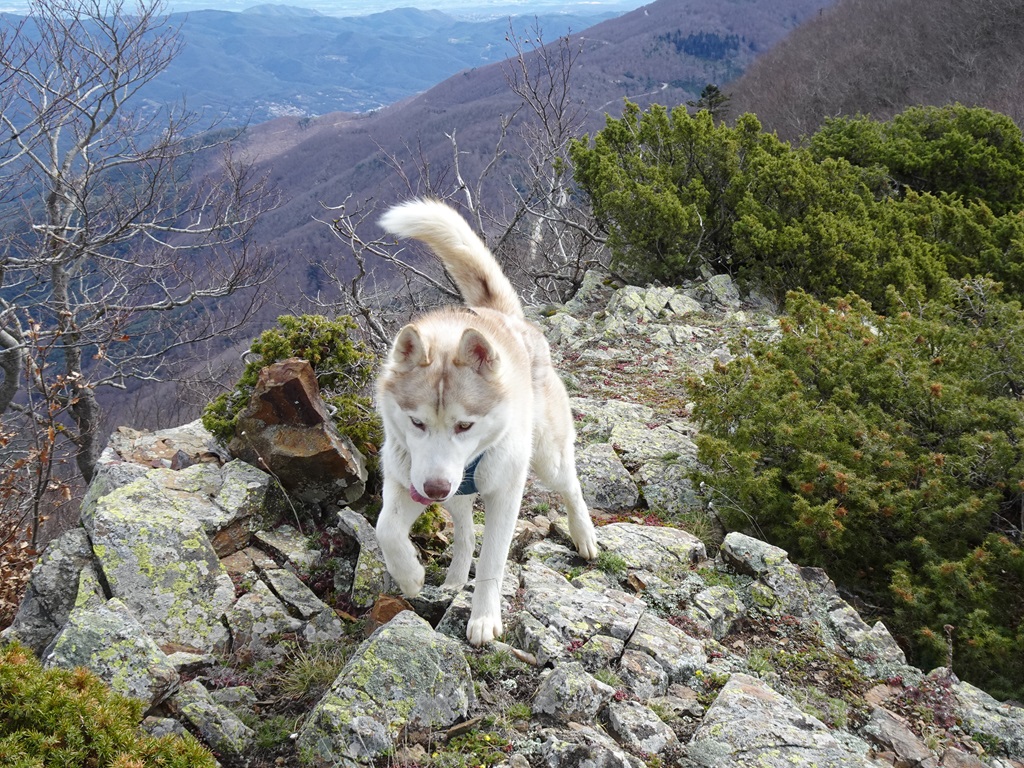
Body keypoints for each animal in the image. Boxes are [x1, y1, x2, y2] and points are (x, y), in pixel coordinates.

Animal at [376, 199, 598, 651]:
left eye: (465, 425)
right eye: (416, 422)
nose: (434, 488)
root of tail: (501, 316)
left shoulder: (505, 494)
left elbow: (494, 559)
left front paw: (483, 618)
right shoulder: (405, 477)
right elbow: (385, 528)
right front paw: (411, 576)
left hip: (547, 458)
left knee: (570, 486)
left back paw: (583, 535)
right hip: (456, 493)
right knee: (464, 533)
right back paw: (454, 578)